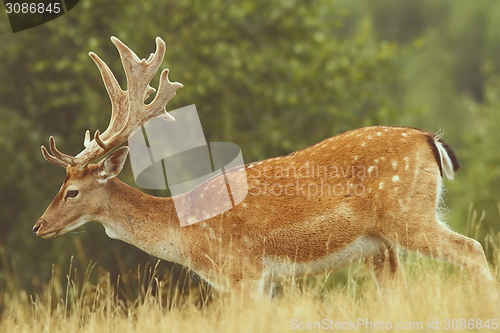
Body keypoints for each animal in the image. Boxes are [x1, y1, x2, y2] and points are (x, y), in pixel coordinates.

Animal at [32, 36, 496, 296]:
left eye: (72, 191)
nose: (38, 225)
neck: (187, 235)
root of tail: (430, 139)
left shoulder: (244, 272)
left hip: (408, 216)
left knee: (472, 250)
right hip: (383, 245)